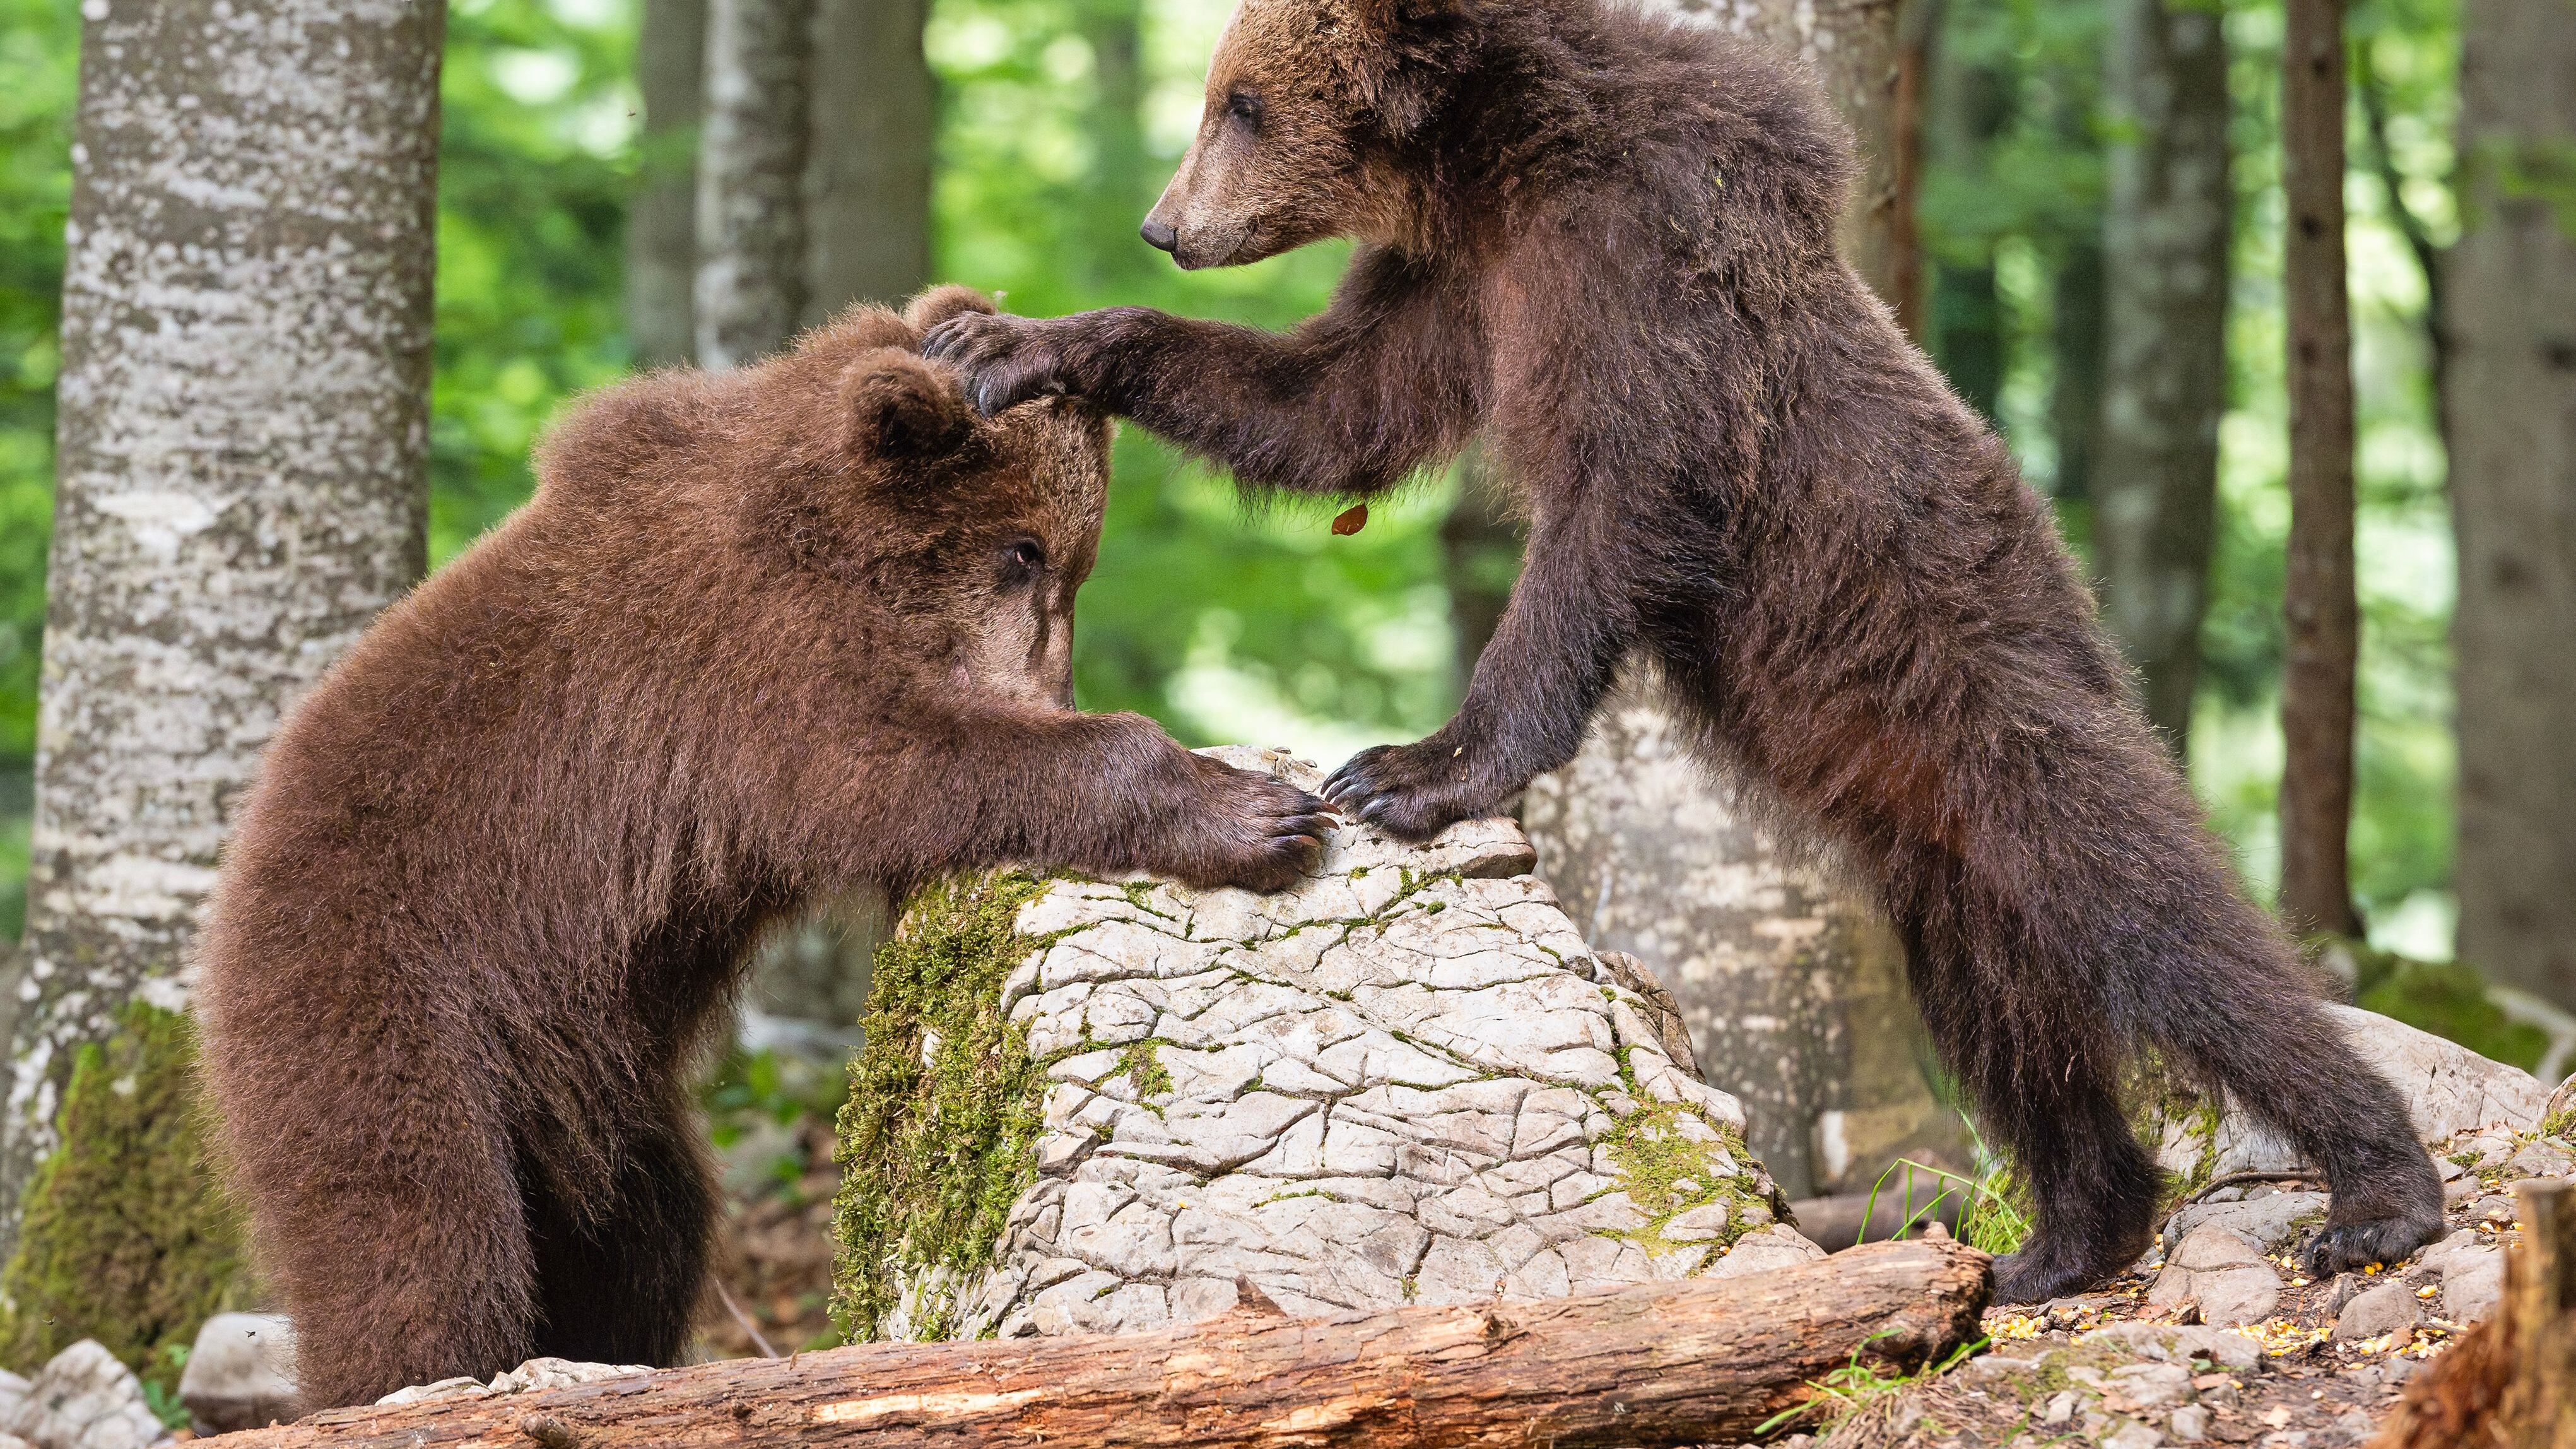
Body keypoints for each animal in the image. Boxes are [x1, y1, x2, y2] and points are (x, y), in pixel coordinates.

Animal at [196, 287, 1333, 1410]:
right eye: (1023, 551)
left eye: (1071, 557)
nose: (1050, 688)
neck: (832, 551)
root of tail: (225, 905)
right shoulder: (738, 670)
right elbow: (893, 770)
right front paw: (1260, 813)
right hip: (390, 1008)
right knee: (421, 1236)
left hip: (588, 1095)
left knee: (647, 1230)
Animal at [919, 0, 2446, 1302]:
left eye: (1238, 103)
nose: (1163, 223)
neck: (1503, 170)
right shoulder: (1460, 279)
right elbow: (1327, 404)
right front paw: (1006, 340)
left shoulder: (1648, 279)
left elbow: (1608, 516)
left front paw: (1410, 770)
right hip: (1926, 832)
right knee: (1997, 1006)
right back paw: (2062, 1238)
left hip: (1989, 689)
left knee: (2159, 908)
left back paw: (2374, 1187)